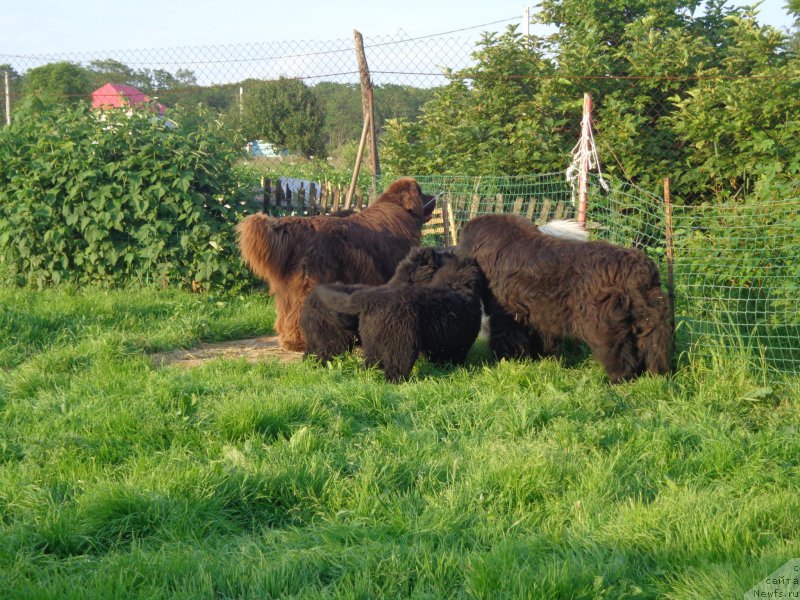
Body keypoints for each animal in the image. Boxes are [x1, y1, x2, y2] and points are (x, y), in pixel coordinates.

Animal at [238, 178, 438, 352]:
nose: (435, 195)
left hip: (286, 289)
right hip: (311, 282)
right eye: (421, 192)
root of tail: (296, 226)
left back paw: (292, 342)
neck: (401, 209)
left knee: (286, 313)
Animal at [456, 216, 676, 382]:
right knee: (653, 349)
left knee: (620, 353)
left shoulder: (508, 315)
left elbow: (507, 339)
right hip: (651, 322)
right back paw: (654, 375)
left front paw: (509, 361)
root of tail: (640, 270)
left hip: (605, 325)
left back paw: (617, 379)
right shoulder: (539, 313)